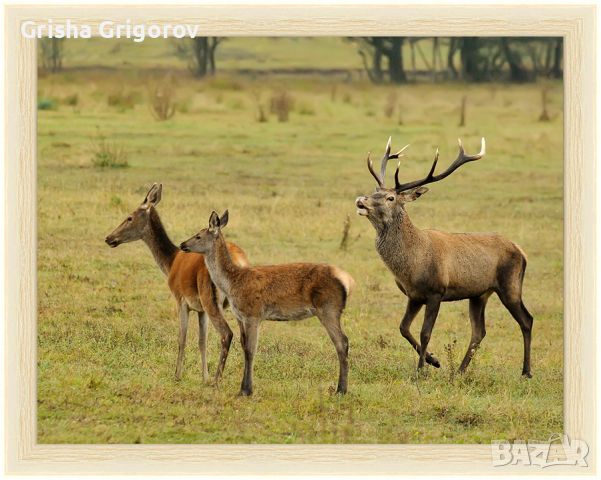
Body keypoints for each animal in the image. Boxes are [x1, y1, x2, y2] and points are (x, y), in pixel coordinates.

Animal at [105, 184, 248, 382]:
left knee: (227, 334)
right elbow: (202, 341)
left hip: (212, 302)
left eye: (129, 217)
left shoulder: (181, 300)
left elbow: (182, 338)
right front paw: (204, 376)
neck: (171, 262)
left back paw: (217, 380)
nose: (109, 238)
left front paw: (177, 375)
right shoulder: (200, 310)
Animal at [180, 209, 354, 394]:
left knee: (342, 342)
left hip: (328, 308)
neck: (232, 283)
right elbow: (244, 347)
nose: (182, 244)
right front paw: (243, 389)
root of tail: (348, 282)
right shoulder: (241, 316)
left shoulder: (253, 314)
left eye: (198, 236)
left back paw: (341, 390)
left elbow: (251, 350)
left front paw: (246, 390)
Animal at [354, 137, 532, 376]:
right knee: (479, 332)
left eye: (390, 197)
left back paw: (526, 372)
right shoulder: (413, 295)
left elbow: (425, 332)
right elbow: (403, 328)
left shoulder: (436, 291)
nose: (361, 200)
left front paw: (421, 371)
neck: (411, 265)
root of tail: (521, 250)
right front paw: (434, 361)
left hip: (510, 284)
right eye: (374, 191)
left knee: (526, 320)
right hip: (479, 294)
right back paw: (459, 371)